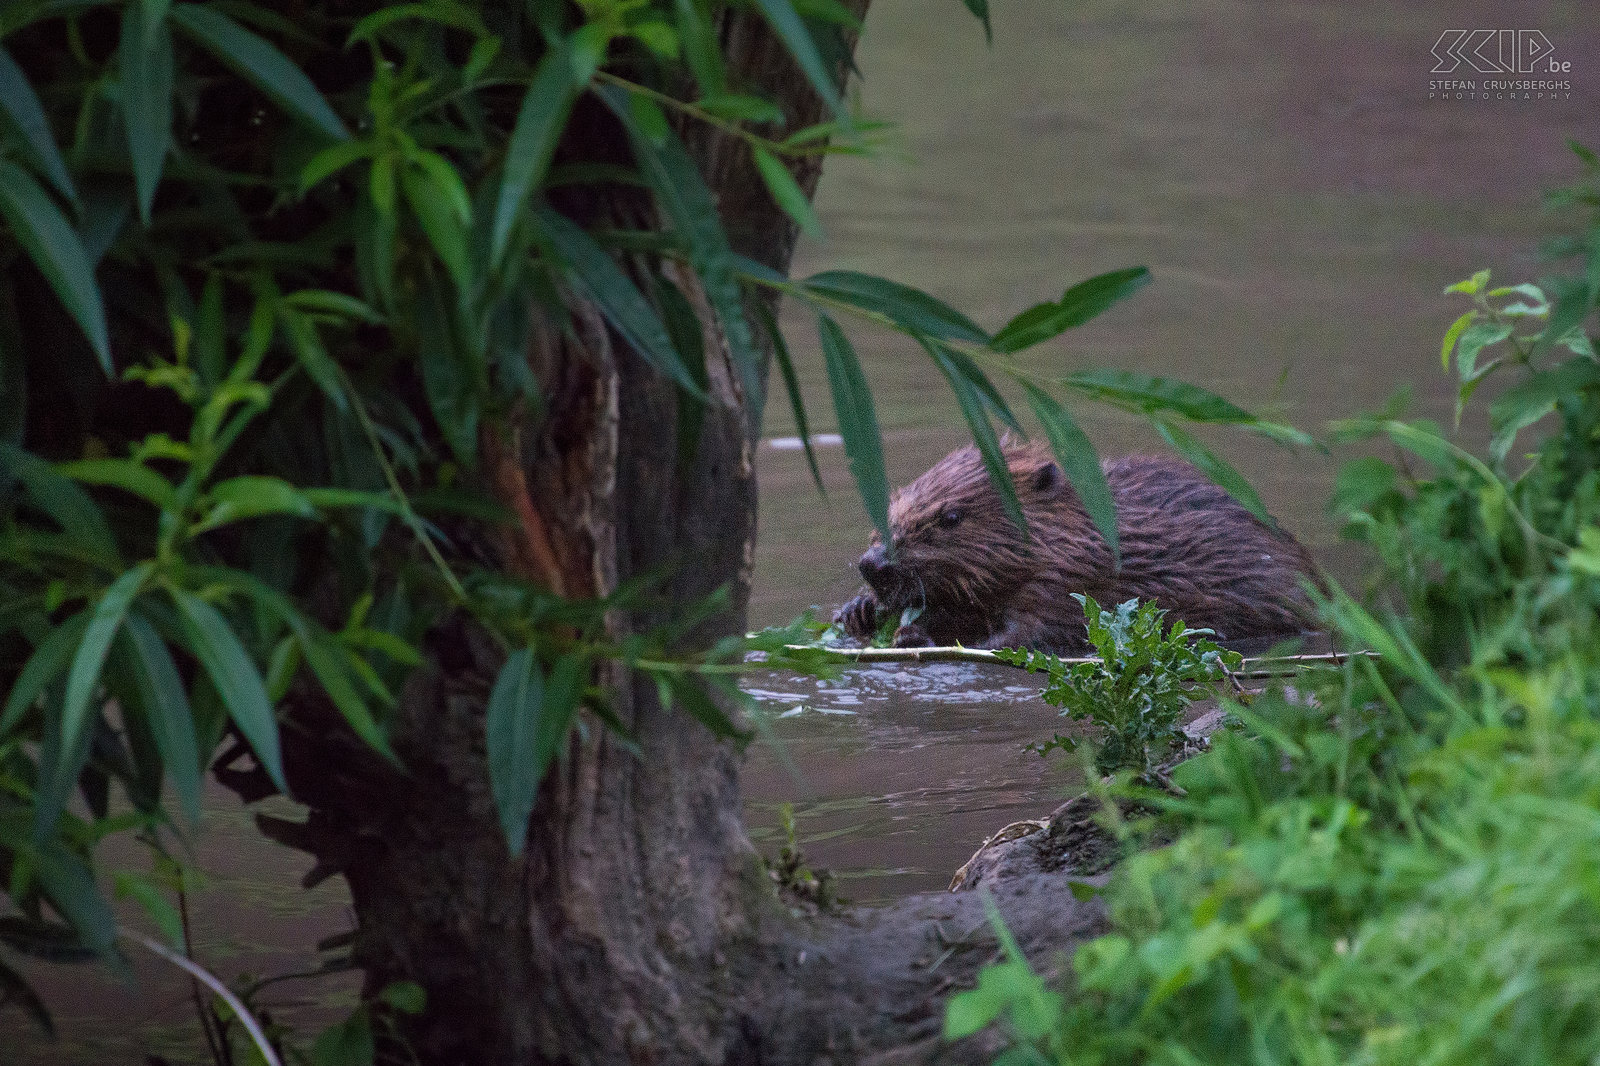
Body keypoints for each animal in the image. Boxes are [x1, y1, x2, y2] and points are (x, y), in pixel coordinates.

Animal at [832, 438, 1318, 653]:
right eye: (892, 502)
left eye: (951, 517)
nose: (872, 564)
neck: (1081, 534)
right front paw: (857, 611)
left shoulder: (1067, 583)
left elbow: (1018, 636)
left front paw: (916, 635)